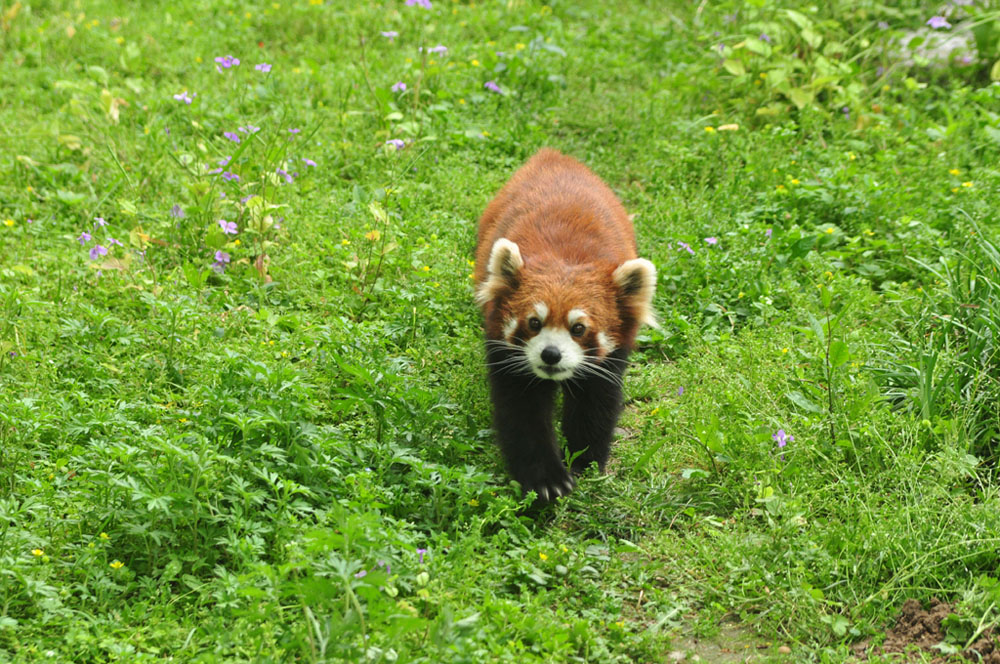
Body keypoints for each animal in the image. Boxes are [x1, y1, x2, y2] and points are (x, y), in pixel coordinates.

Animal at [474, 148, 656, 500]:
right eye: (534, 322)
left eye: (578, 328)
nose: (551, 355)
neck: (566, 256)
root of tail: (554, 157)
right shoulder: (507, 352)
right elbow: (523, 413)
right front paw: (546, 480)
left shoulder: (609, 360)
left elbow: (595, 406)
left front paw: (583, 462)